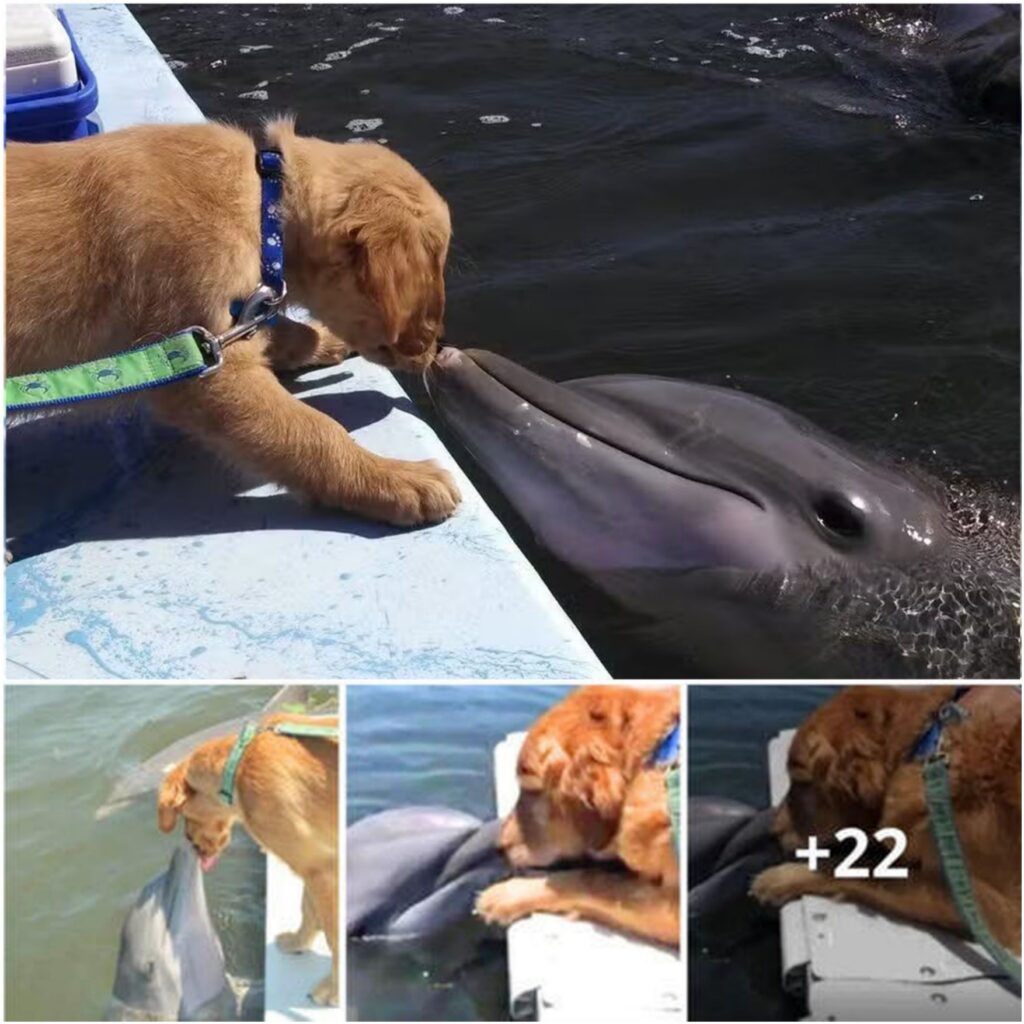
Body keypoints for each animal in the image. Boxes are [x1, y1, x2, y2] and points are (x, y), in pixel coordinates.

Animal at [8, 116, 460, 524]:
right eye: (432, 275)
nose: (436, 351)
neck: (264, 202)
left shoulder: (223, 327)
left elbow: (280, 331)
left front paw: (322, 339)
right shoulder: (201, 368)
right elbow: (312, 431)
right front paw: (394, 479)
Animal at [157, 716, 337, 1003]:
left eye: (185, 814)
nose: (191, 844)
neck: (237, 768)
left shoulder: (322, 868)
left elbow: (334, 936)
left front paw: (332, 989)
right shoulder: (314, 861)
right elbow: (307, 908)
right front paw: (298, 943)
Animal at [475, 684, 684, 946]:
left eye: (530, 788)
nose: (499, 847)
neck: (654, 758)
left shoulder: (674, 910)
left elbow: (592, 881)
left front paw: (505, 895)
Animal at [749, 684, 1019, 954]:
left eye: (800, 781)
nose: (771, 832)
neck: (926, 746)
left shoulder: (996, 910)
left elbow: (868, 870)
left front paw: (784, 878)